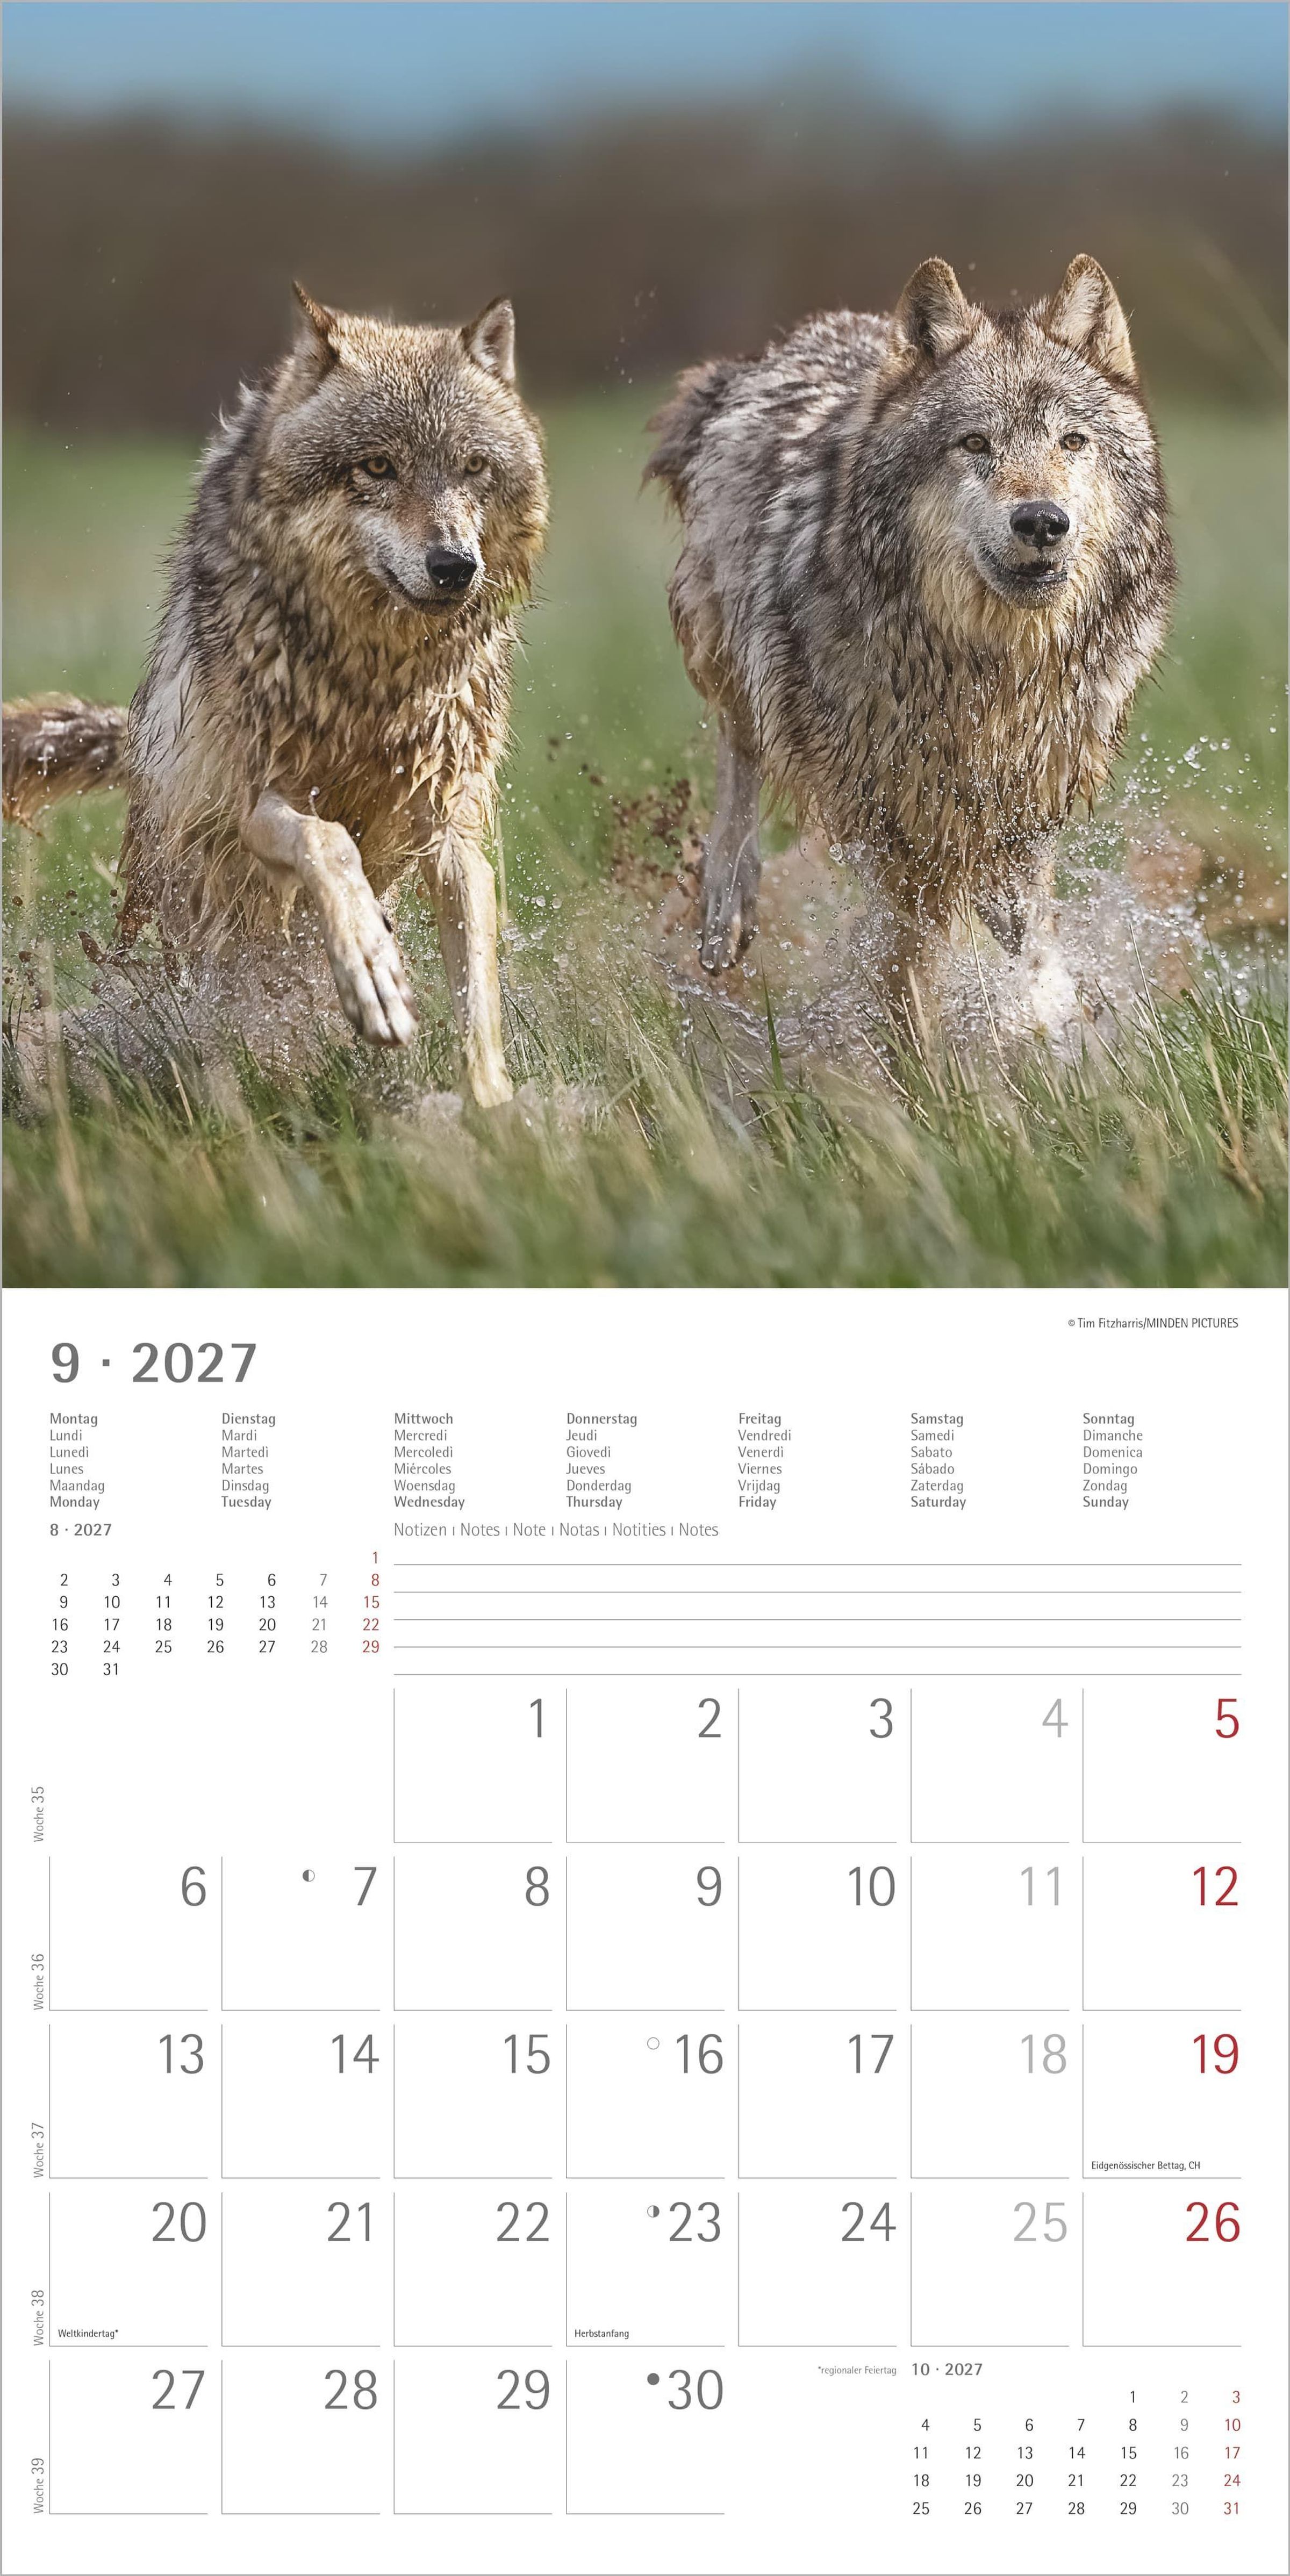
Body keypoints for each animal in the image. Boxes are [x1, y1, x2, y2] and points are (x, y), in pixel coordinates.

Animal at [3, 286, 548, 1104]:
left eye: (473, 467)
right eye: (378, 466)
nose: (455, 566)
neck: (375, 682)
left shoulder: (449, 826)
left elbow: (478, 990)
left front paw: (492, 1108)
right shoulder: (259, 801)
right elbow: (331, 845)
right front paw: (372, 974)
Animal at [647, 255, 1175, 1025]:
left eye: (1072, 442)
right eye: (976, 443)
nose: (1043, 522)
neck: (989, 669)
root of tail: (806, 335)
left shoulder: (1024, 806)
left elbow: (1030, 942)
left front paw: (1056, 1022)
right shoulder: (887, 822)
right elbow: (908, 961)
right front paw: (914, 1053)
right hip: (727, 641)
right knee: (739, 745)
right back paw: (726, 906)